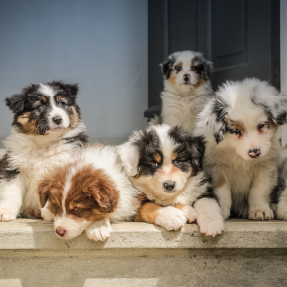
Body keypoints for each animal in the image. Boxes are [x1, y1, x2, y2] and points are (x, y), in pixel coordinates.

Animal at [0, 81, 88, 223]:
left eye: (62, 103)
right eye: (40, 106)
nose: (57, 119)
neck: (45, 143)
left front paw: (50, 212)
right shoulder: (13, 167)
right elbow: (10, 191)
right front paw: (6, 211)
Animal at [195, 78, 286, 220]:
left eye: (261, 125)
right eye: (235, 131)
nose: (254, 152)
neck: (239, 158)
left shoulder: (266, 167)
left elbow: (259, 190)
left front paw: (260, 210)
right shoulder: (216, 169)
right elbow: (222, 192)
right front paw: (221, 211)